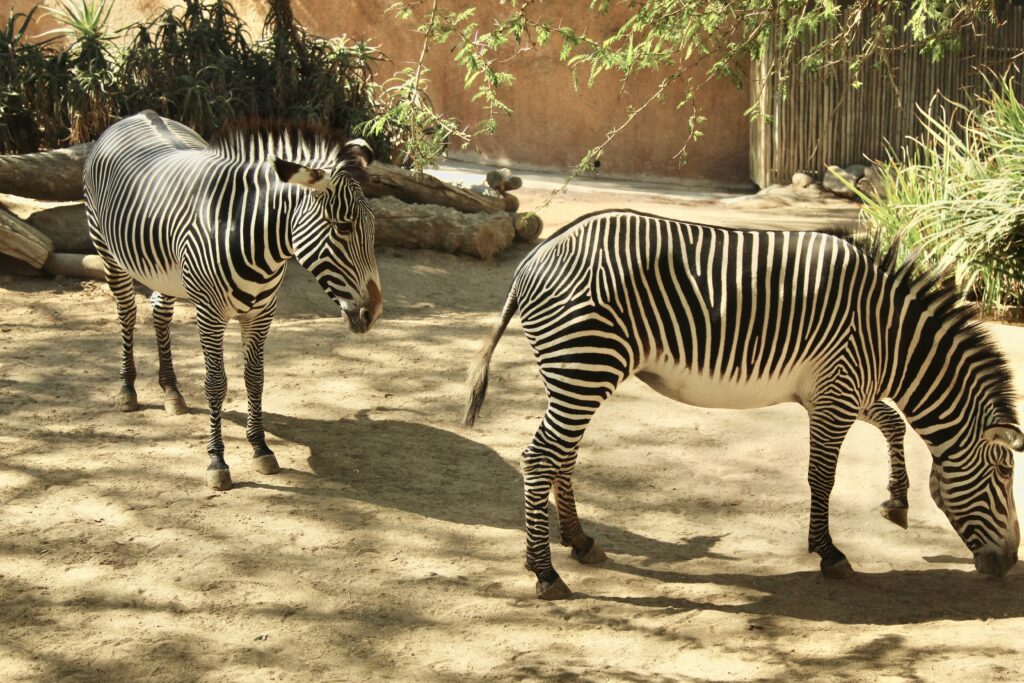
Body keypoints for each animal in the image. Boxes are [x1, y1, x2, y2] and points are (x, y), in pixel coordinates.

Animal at [85, 111, 382, 491]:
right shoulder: (210, 313)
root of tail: (139, 115)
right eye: (343, 228)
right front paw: (217, 461)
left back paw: (171, 391)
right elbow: (216, 383)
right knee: (126, 312)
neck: (254, 239)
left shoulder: (262, 313)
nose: (374, 312)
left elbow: (255, 378)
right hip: (107, 251)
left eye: (372, 227)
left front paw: (260, 448)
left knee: (159, 312)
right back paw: (127, 390)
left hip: (166, 271)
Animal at [464, 209, 1021, 599]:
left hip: (575, 373)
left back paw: (579, 542)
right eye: (1003, 474)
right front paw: (830, 553)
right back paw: (544, 572)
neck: (891, 338)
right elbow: (823, 477)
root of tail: (534, 257)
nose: (1010, 564)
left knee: (562, 455)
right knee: (540, 457)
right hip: (586, 365)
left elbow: (891, 423)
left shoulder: (839, 391)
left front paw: (896, 501)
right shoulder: (838, 392)